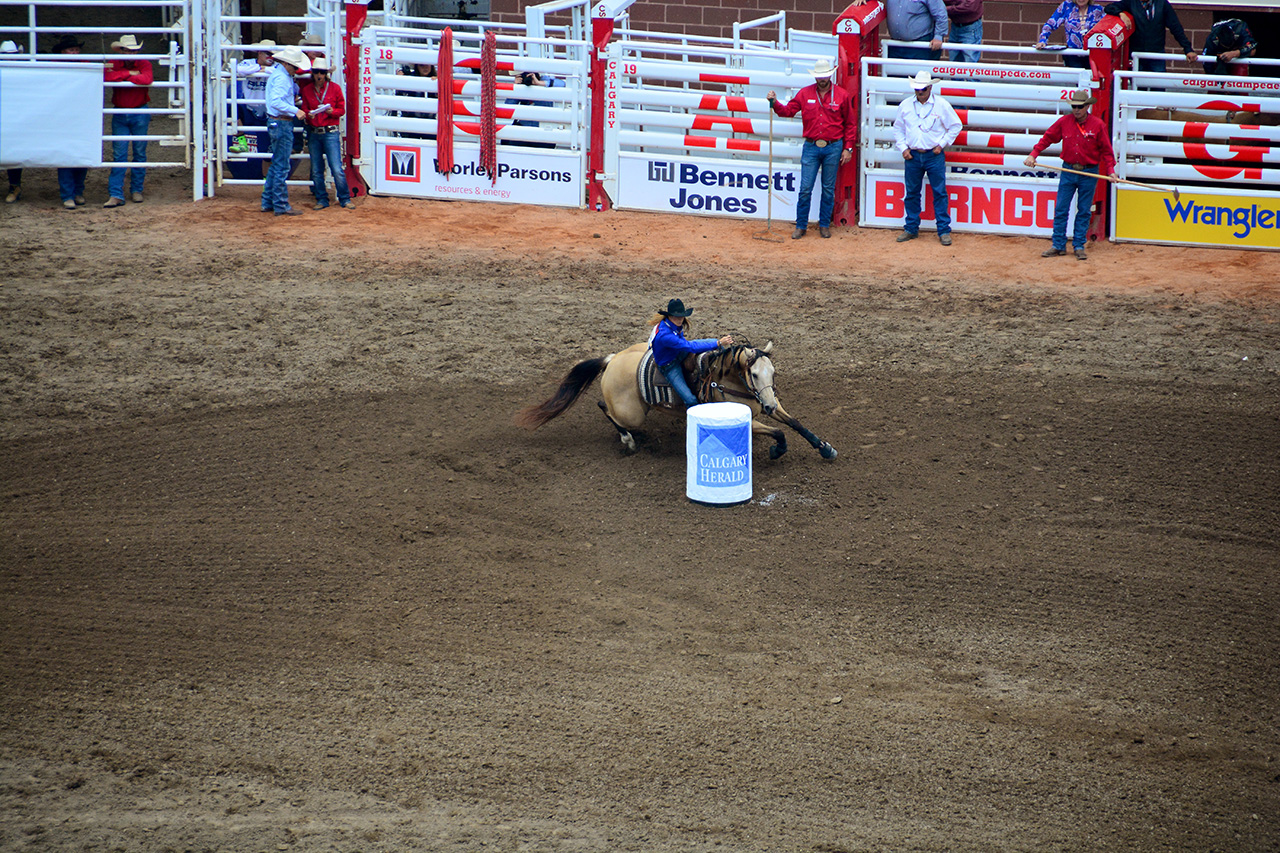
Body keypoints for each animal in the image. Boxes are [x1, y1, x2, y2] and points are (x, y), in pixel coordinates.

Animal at [514, 338, 834, 458]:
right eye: (754, 374)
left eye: (773, 373)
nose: (767, 404)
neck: (729, 381)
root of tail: (612, 360)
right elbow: (779, 432)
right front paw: (777, 451)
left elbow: (796, 423)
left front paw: (825, 448)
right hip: (632, 413)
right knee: (605, 408)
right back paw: (628, 440)